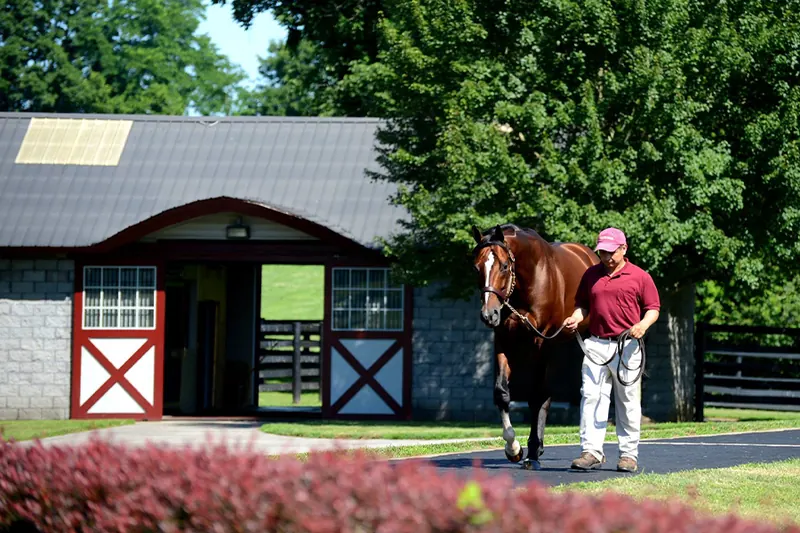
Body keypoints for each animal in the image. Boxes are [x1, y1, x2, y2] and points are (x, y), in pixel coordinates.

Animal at [471, 223, 599, 469]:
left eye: (504, 266)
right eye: (476, 267)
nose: (488, 315)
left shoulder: (542, 341)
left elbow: (535, 398)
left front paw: (530, 454)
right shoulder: (503, 340)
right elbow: (502, 393)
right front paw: (514, 449)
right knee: (548, 394)